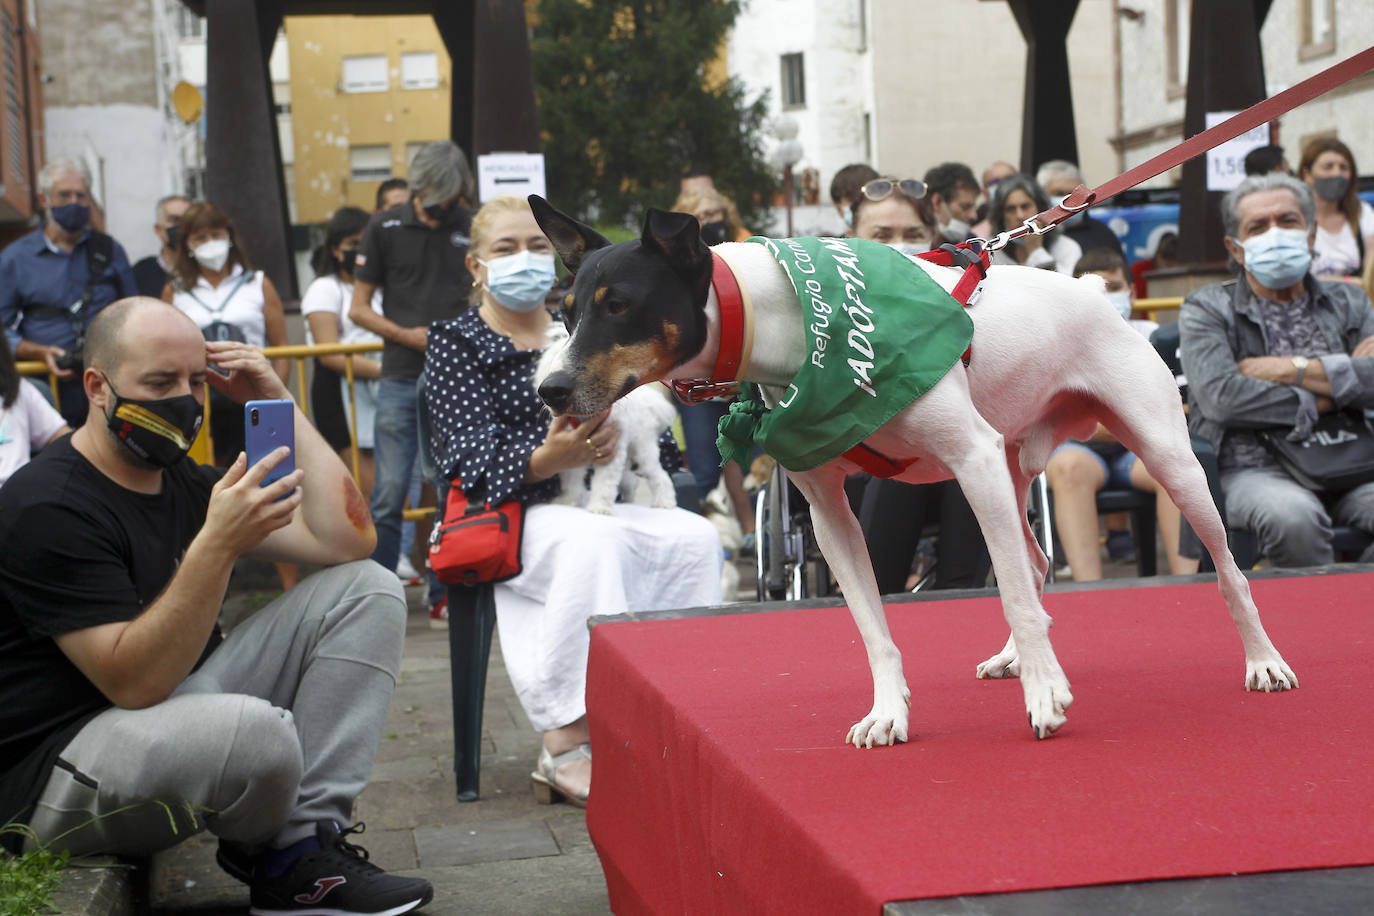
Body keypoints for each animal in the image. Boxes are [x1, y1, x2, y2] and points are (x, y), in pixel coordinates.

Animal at [538, 325, 684, 516]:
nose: (551, 389)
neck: (585, 419)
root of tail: (650, 401)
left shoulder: (610, 452)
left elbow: (604, 484)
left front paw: (598, 508)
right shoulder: (569, 457)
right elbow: (575, 484)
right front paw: (579, 503)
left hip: (642, 448)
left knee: (659, 475)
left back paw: (664, 502)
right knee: (630, 480)